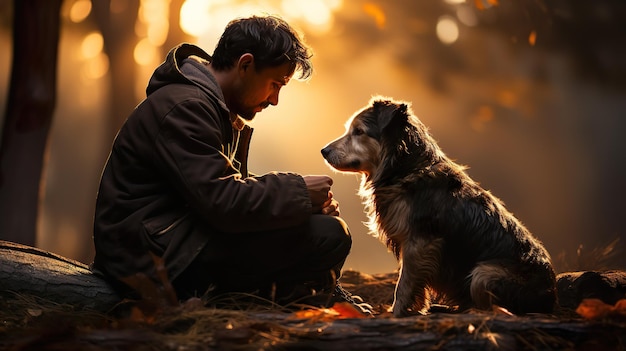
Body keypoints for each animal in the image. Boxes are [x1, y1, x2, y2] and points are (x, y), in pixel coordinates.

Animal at [322, 97, 556, 320]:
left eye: (359, 131)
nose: (324, 151)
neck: (407, 169)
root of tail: (551, 299)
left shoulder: (420, 242)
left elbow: (404, 284)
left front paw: (397, 312)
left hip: (484, 273)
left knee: (489, 308)